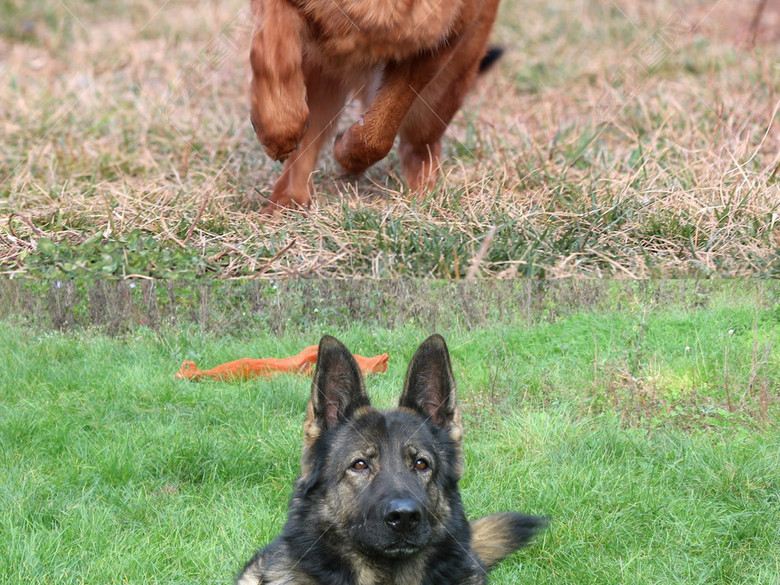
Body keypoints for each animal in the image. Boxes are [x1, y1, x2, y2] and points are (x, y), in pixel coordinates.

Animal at [251, 0, 506, 212]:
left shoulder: (434, 42)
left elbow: (380, 132)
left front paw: (347, 154)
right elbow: (271, 56)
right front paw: (278, 133)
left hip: (442, 93)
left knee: (421, 148)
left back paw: (419, 204)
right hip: (321, 72)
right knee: (306, 145)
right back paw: (285, 204)